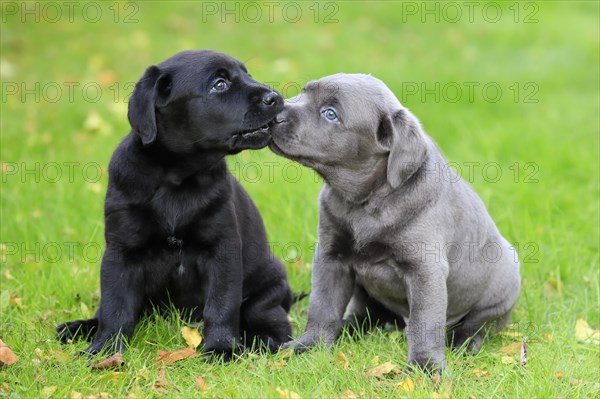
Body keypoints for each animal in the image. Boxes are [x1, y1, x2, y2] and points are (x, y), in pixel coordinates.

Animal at [57, 50, 296, 360]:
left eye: (247, 74)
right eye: (219, 84)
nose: (275, 98)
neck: (176, 180)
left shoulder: (222, 250)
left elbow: (221, 304)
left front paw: (221, 348)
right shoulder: (121, 252)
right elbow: (115, 307)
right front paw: (105, 349)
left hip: (268, 286)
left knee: (273, 320)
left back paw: (264, 341)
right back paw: (78, 327)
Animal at [270, 73, 524, 374]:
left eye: (330, 113)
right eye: (303, 92)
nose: (274, 113)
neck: (365, 203)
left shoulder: (425, 269)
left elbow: (424, 322)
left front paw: (426, 367)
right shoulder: (331, 257)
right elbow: (323, 306)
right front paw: (309, 346)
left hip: (501, 286)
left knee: (478, 325)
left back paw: (463, 343)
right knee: (366, 315)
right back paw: (349, 328)